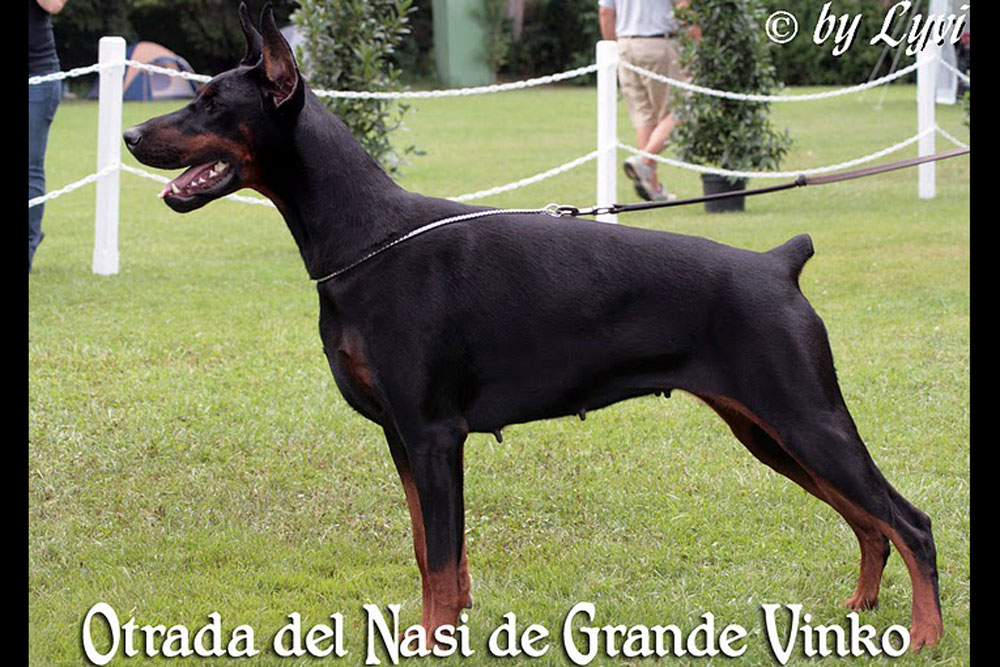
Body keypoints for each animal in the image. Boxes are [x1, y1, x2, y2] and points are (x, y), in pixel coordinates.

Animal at [122, 3, 943, 651]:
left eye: (209, 101)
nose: (129, 136)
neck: (365, 237)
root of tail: (777, 264)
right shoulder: (401, 436)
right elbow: (430, 550)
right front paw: (443, 627)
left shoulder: (433, 432)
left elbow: (441, 556)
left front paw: (434, 641)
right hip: (767, 429)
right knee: (869, 522)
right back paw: (860, 609)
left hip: (805, 416)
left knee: (910, 521)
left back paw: (924, 635)